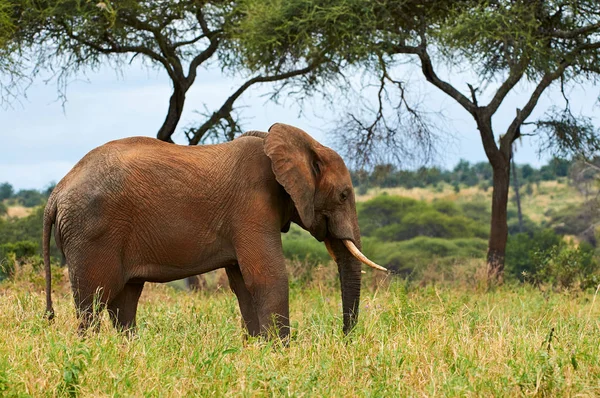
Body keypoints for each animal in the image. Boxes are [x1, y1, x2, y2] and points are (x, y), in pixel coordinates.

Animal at [43, 122, 390, 338]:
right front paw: (281, 353)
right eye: (343, 195)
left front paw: (259, 348)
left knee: (124, 302)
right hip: (91, 232)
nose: (344, 337)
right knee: (93, 302)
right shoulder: (252, 206)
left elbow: (244, 284)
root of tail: (55, 193)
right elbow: (268, 276)